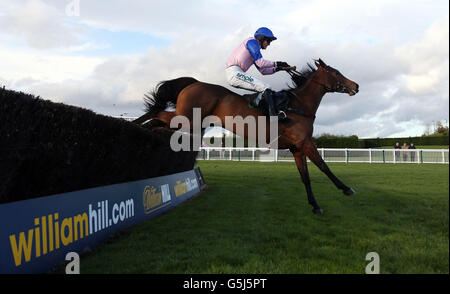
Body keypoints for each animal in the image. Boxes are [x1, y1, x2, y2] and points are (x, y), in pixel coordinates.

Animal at [134, 58, 358, 215]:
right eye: (336, 72)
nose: (355, 86)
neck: (298, 106)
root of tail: (194, 83)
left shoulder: (297, 148)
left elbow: (306, 177)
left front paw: (315, 205)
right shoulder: (305, 143)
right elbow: (324, 166)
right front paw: (346, 188)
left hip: (189, 121)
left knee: (158, 118)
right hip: (186, 119)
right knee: (158, 113)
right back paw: (137, 126)